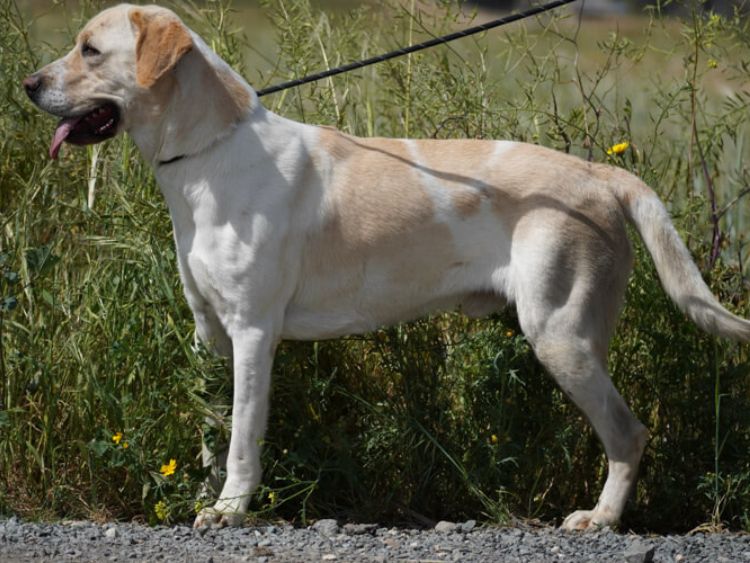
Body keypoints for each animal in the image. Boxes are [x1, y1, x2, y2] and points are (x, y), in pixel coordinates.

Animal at [23, 4, 750, 532]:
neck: (207, 155)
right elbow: (209, 432)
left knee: (629, 434)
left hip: (561, 334)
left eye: (90, 50)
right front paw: (203, 498)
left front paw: (230, 510)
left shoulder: (254, 333)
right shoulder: (210, 334)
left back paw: (600, 519)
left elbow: (241, 436)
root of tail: (600, 173)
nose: (28, 84)